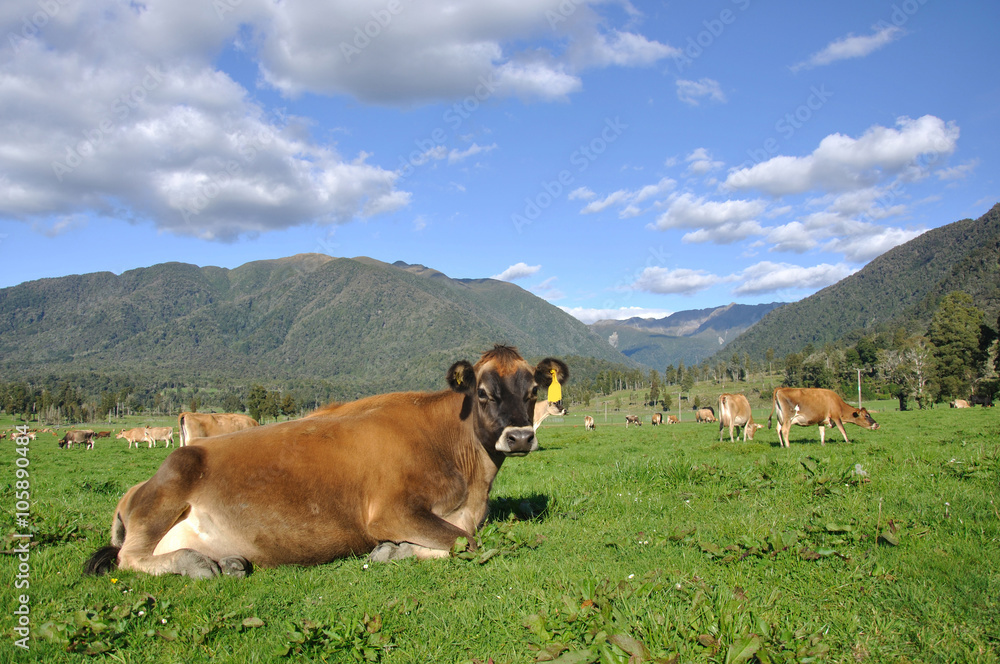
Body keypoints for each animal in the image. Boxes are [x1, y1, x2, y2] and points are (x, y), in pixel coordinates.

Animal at [84, 344, 572, 580]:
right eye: (484, 393)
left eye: (532, 392)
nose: (521, 436)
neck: (471, 485)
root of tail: (137, 487)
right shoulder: (389, 510)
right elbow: (463, 542)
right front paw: (392, 551)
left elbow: (461, 539)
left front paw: (396, 551)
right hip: (172, 481)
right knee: (129, 558)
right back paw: (196, 564)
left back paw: (228, 563)